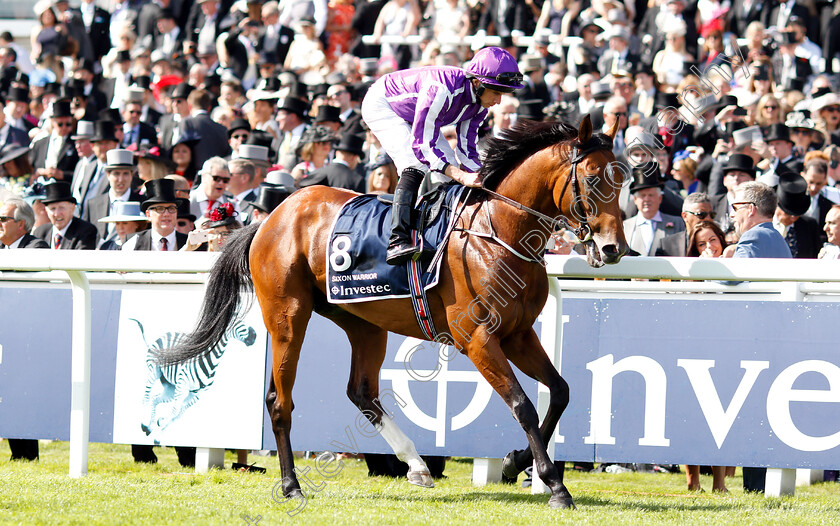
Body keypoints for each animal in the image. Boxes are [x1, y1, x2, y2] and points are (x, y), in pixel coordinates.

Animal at [161, 116, 628, 512]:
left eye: (623, 179)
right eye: (591, 177)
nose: (614, 248)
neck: (496, 232)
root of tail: (270, 218)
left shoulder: (518, 334)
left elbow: (561, 391)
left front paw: (516, 463)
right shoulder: (479, 339)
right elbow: (523, 405)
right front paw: (555, 485)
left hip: (364, 323)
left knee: (361, 392)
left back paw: (417, 465)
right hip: (287, 315)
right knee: (280, 400)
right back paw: (291, 485)